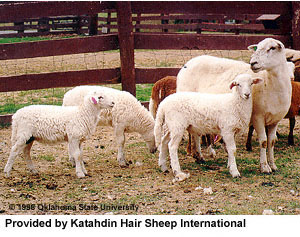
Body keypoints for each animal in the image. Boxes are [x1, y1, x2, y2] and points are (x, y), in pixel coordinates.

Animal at [177, 37, 292, 174]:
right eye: (257, 48)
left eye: (272, 48)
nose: (253, 63)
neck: (271, 84)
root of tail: (187, 63)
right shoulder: (258, 117)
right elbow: (263, 142)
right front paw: (264, 167)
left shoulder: (275, 120)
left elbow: (272, 142)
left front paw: (273, 165)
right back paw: (198, 155)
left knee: (196, 132)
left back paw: (198, 156)